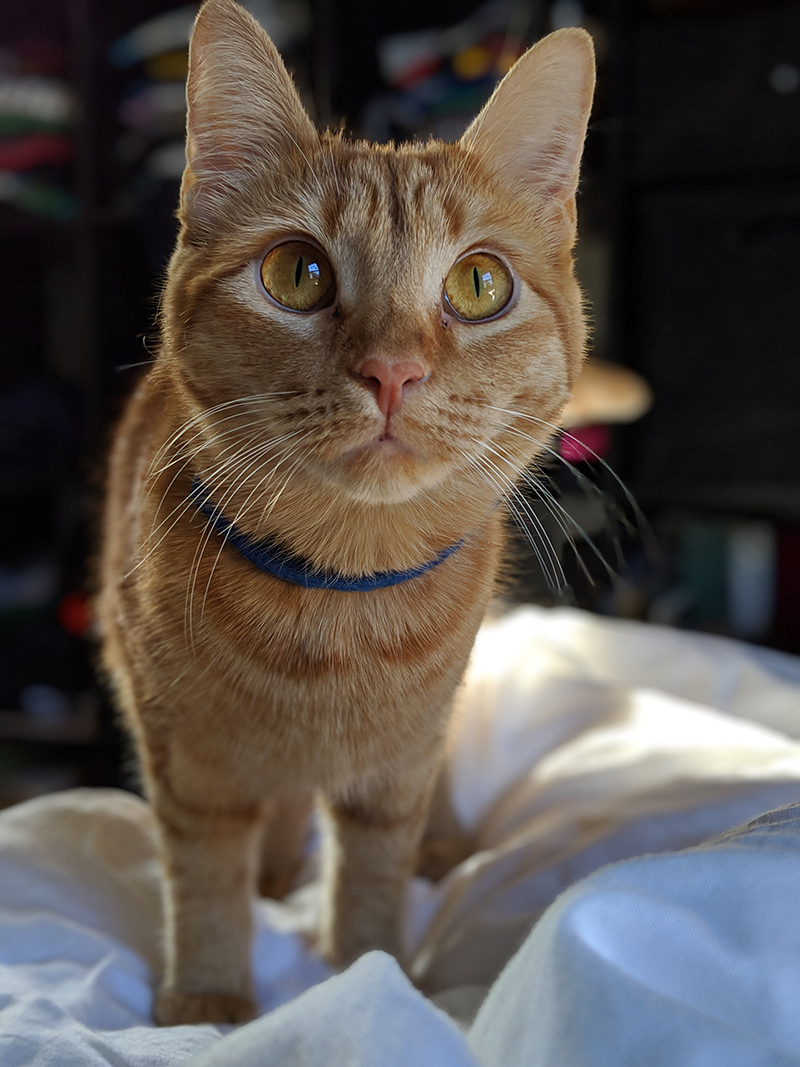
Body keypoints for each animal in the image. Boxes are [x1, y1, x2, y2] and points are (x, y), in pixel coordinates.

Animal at [97, 0, 597, 1024]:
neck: (340, 604)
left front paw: (376, 978)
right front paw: (209, 999)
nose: (392, 371)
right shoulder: (187, 762)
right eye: (298, 273)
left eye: (479, 284)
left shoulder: (395, 775)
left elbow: (373, 884)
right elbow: (203, 879)